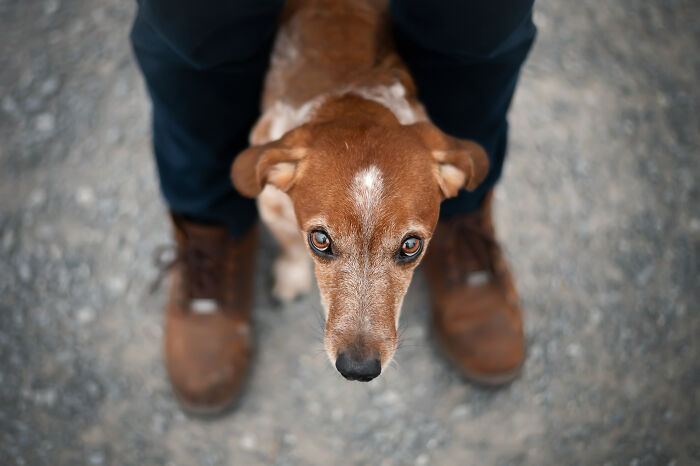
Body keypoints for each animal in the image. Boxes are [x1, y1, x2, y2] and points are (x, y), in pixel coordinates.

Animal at [230, 0, 486, 380]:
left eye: (411, 246)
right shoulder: (271, 205)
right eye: (320, 240)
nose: (358, 369)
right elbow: (289, 244)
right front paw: (292, 275)